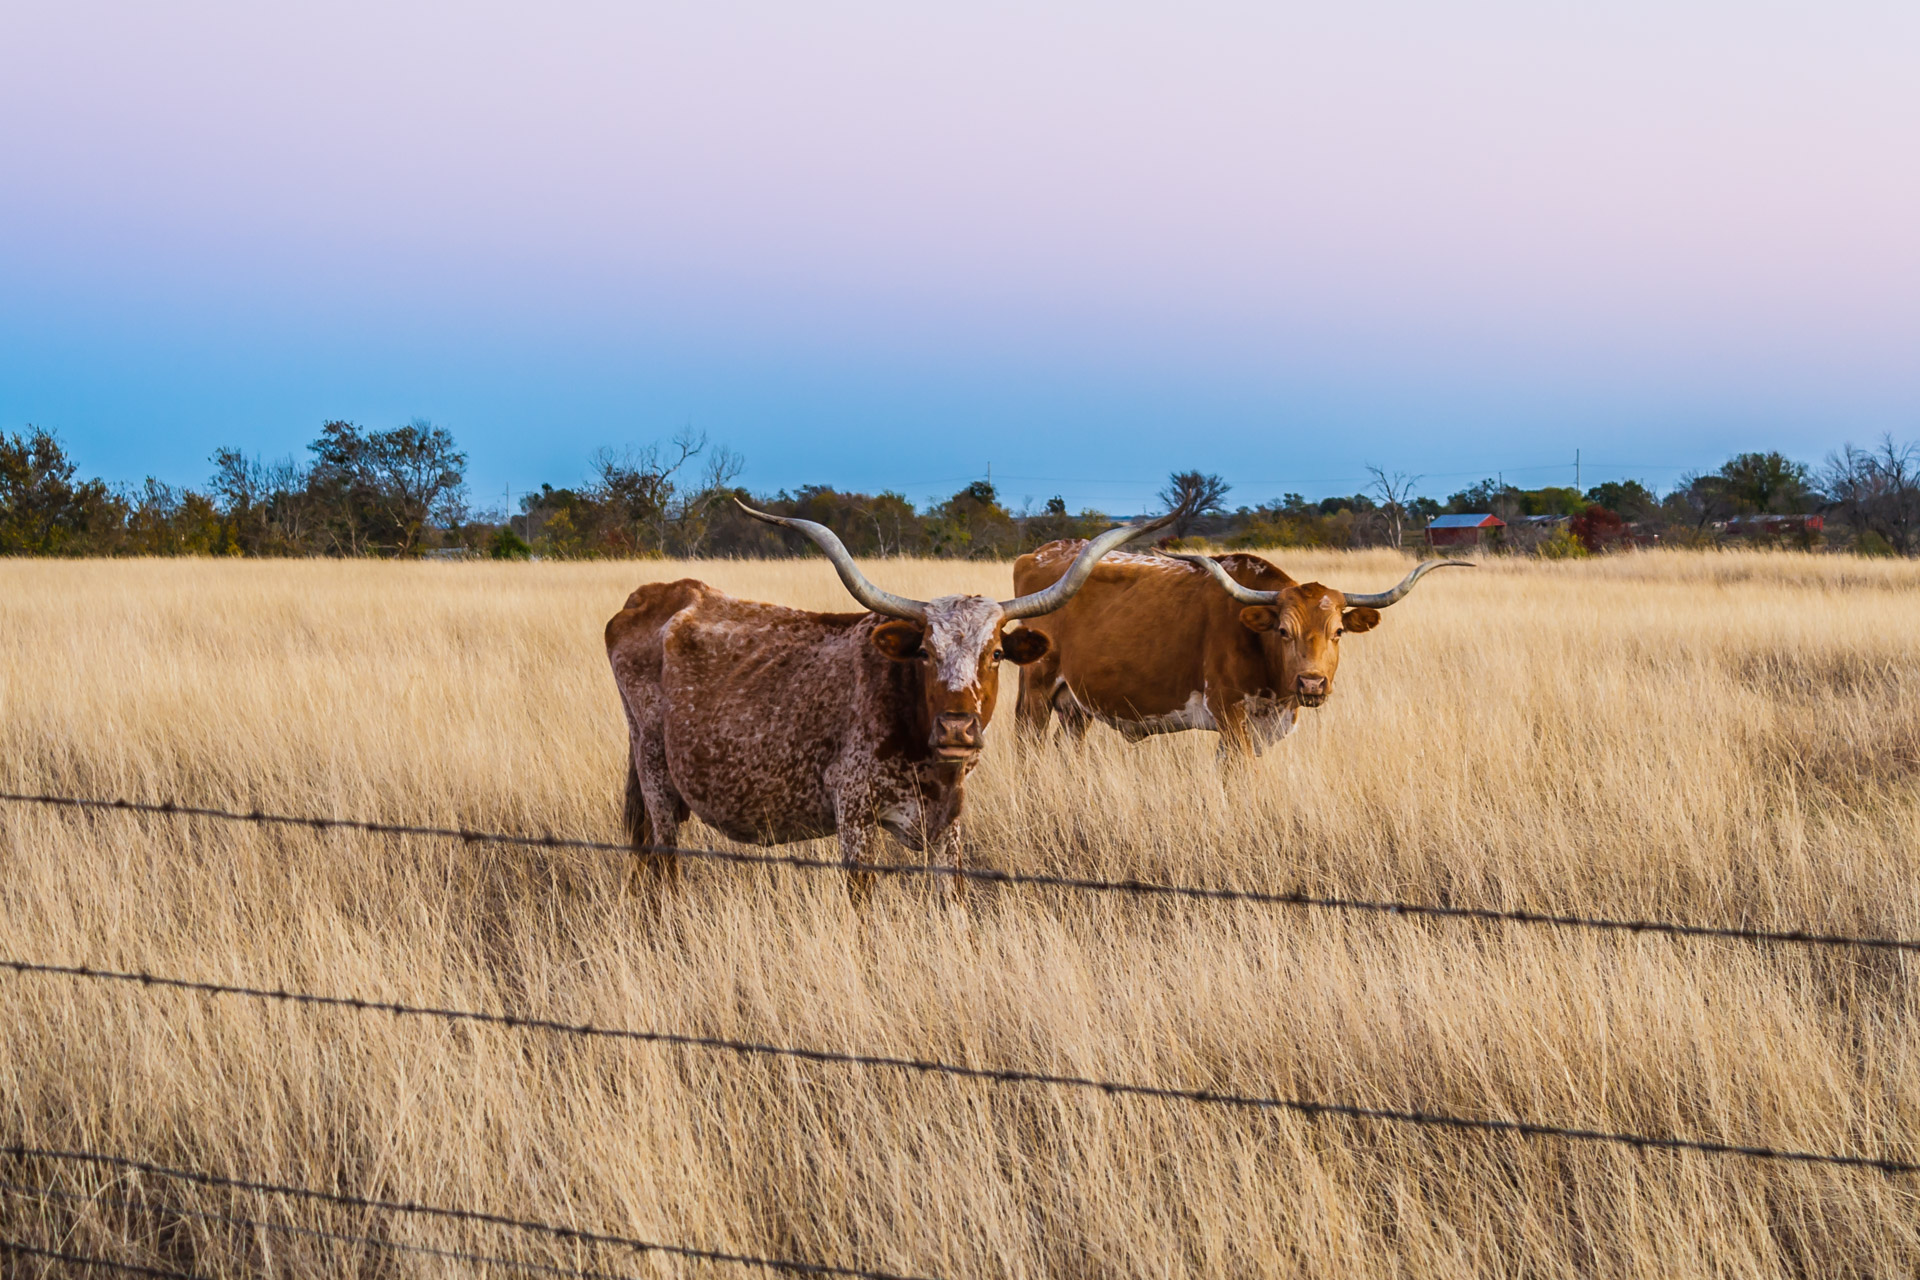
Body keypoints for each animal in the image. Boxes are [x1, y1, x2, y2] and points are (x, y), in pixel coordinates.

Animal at [599, 498, 1175, 890]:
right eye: (924, 653)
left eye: (995, 654)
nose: (958, 728)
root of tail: (658, 593)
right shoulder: (854, 815)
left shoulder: (948, 824)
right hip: (655, 777)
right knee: (662, 865)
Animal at [1006, 548, 1466, 759]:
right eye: (1283, 631)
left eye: (1338, 632)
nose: (1312, 683)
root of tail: (1039, 554)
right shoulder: (1231, 721)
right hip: (1036, 689)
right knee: (1028, 745)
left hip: (1075, 703)